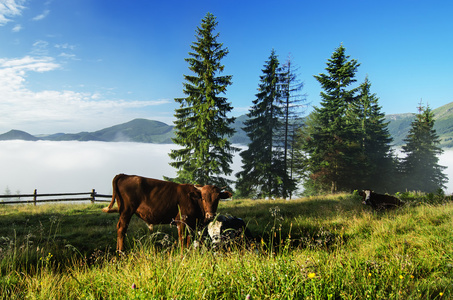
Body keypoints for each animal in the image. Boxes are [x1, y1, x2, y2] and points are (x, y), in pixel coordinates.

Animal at [103, 173, 233, 253]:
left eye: (217, 199)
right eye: (203, 198)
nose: (210, 215)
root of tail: (124, 175)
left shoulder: (192, 225)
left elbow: (189, 240)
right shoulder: (181, 222)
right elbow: (182, 240)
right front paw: (182, 255)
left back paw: (118, 251)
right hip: (126, 211)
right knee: (122, 229)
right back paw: (121, 252)